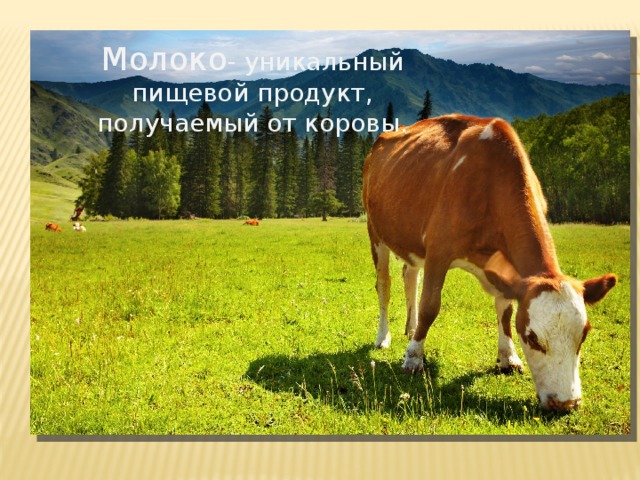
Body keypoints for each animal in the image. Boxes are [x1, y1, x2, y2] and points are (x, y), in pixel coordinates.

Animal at [362, 114, 617, 411]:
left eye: (584, 333)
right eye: (532, 337)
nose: (567, 403)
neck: (489, 187)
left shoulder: (506, 269)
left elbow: (505, 311)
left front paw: (508, 357)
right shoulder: (438, 250)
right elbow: (429, 307)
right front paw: (413, 358)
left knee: (410, 276)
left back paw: (411, 328)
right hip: (376, 232)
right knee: (385, 287)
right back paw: (384, 338)